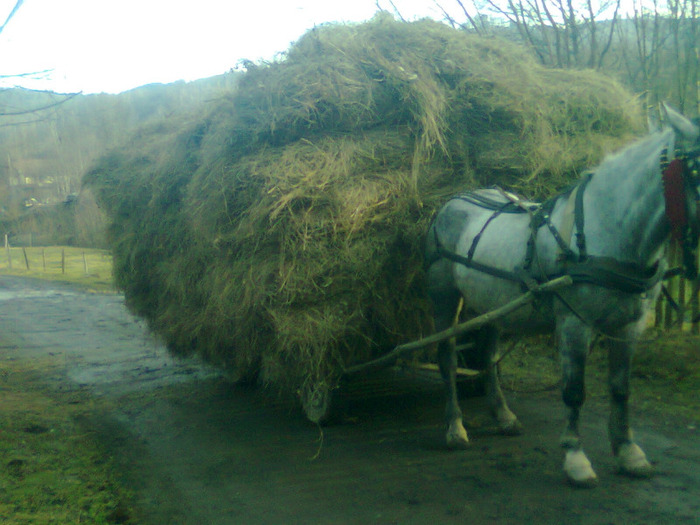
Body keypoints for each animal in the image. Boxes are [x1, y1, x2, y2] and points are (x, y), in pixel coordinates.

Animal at [424, 103, 700, 488]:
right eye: (697, 170)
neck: (607, 230)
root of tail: (452, 201)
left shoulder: (629, 326)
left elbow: (621, 389)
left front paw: (628, 452)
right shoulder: (574, 323)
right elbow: (574, 390)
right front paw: (575, 458)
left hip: (494, 304)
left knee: (487, 356)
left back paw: (503, 415)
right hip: (444, 298)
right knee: (447, 357)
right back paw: (454, 427)